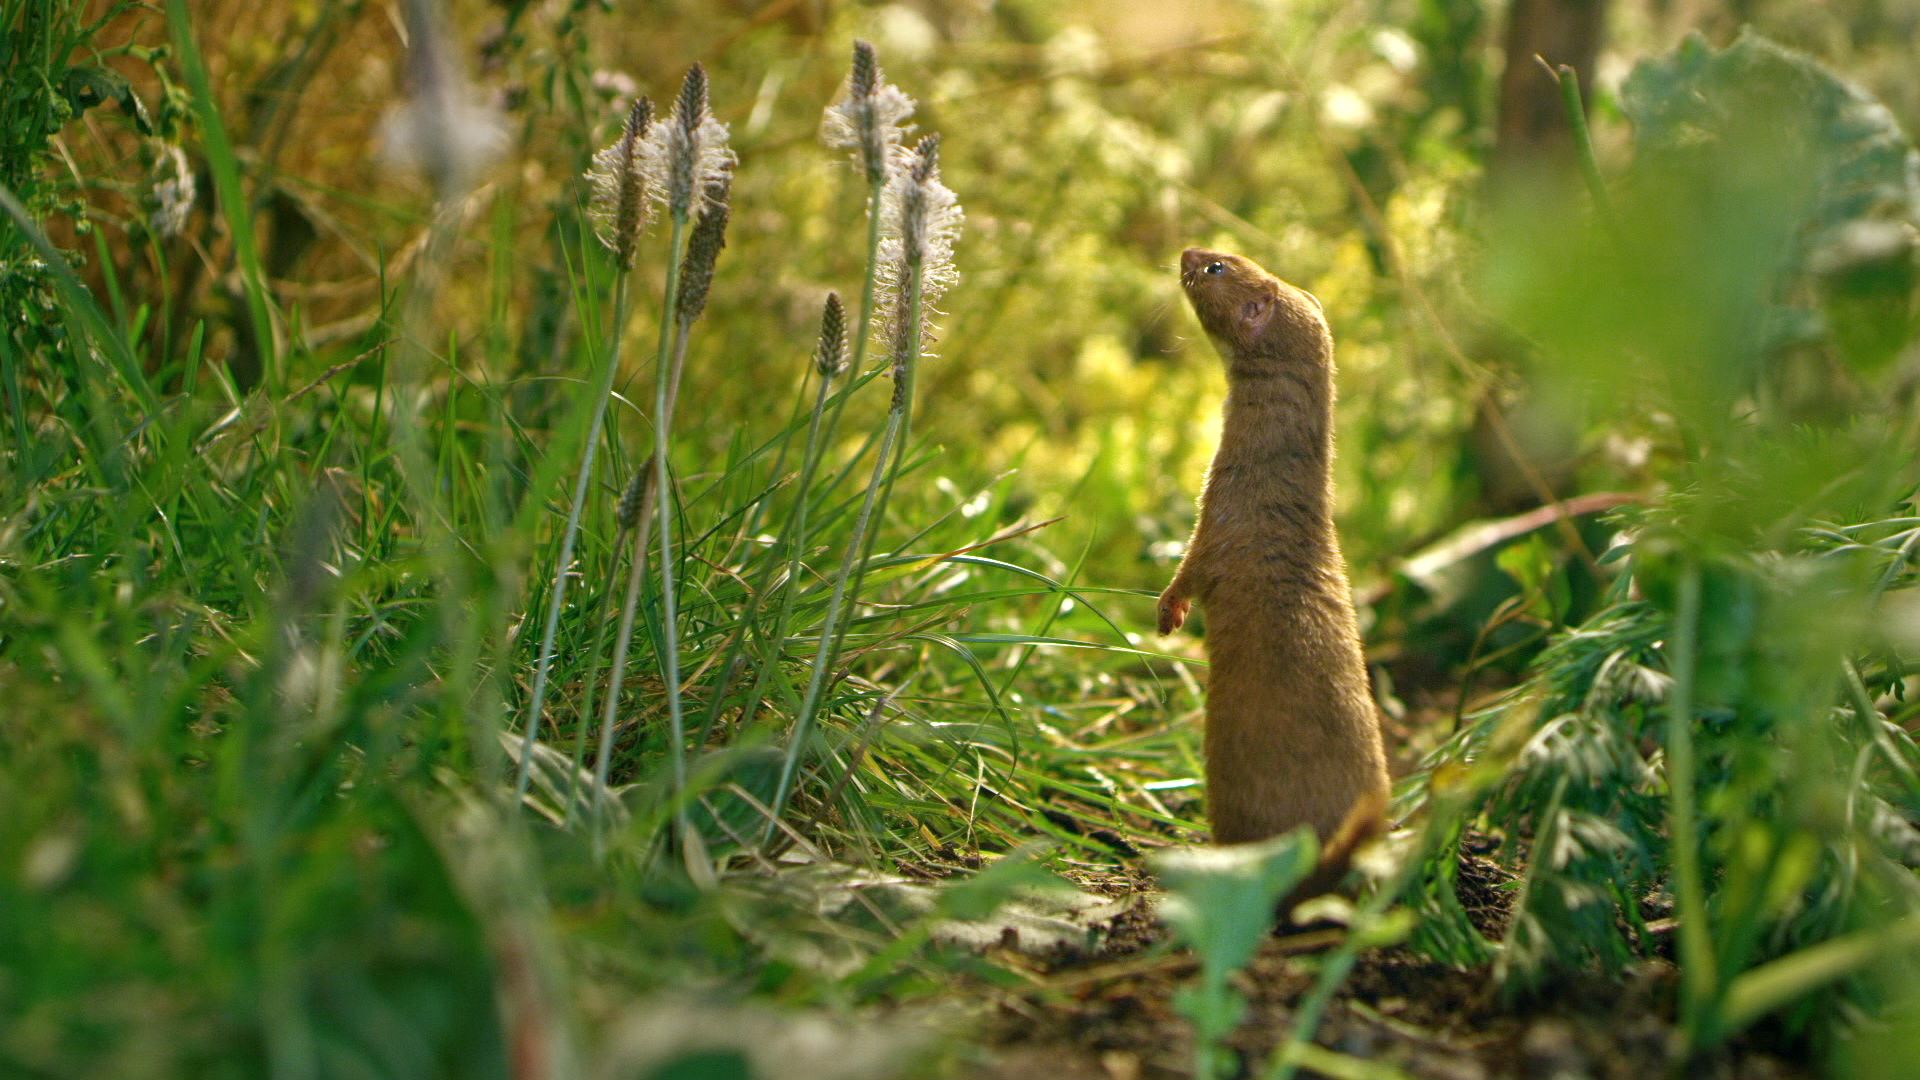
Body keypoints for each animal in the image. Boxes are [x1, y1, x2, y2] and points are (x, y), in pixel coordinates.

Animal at [1159, 245, 1390, 883]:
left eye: (1218, 267)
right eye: (1242, 256)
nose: (1187, 249)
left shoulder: (1217, 520)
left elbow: (1189, 572)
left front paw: (1168, 615)